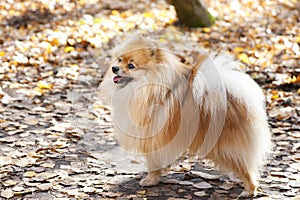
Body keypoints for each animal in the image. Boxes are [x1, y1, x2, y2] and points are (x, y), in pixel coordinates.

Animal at [99, 35, 272, 196]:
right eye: (120, 59)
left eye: (131, 66)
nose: (114, 68)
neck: (145, 86)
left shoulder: (151, 136)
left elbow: (152, 161)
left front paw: (150, 179)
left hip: (222, 147)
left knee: (245, 168)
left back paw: (249, 190)